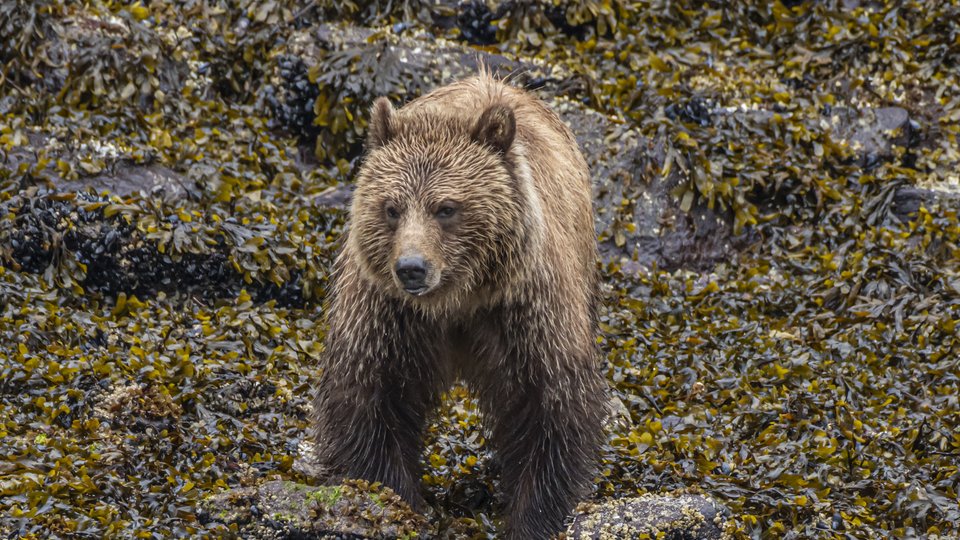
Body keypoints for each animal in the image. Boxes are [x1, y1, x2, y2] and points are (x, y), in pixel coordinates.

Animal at [311, 72, 607, 539]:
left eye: (446, 207)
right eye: (392, 207)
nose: (412, 268)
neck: (456, 301)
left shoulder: (525, 309)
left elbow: (551, 410)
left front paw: (533, 518)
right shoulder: (387, 315)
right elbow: (368, 401)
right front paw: (399, 501)